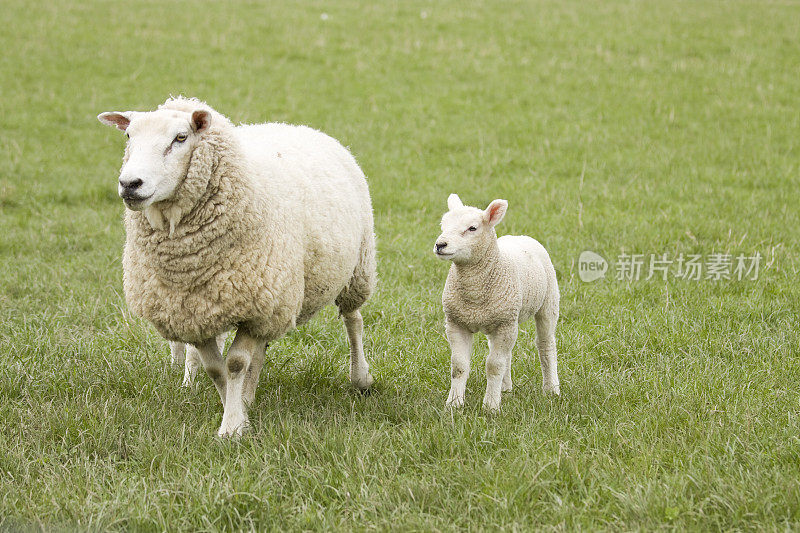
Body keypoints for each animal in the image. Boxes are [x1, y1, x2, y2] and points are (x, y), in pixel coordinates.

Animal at [97, 95, 378, 436]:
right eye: (128, 136)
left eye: (180, 138)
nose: (130, 184)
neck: (188, 259)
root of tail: (294, 126)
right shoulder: (196, 312)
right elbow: (216, 368)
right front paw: (237, 413)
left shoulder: (256, 305)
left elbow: (235, 364)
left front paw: (231, 427)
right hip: (273, 300)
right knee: (262, 347)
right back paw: (248, 394)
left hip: (356, 268)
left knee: (353, 321)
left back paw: (360, 378)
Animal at [434, 193, 560, 410]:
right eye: (443, 225)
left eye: (472, 228)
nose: (440, 245)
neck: (474, 294)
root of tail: (520, 236)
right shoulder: (456, 322)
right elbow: (459, 366)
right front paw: (454, 403)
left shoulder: (504, 323)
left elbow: (493, 366)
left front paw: (491, 406)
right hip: (500, 319)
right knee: (505, 354)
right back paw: (505, 388)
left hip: (547, 303)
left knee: (545, 344)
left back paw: (551, 389)